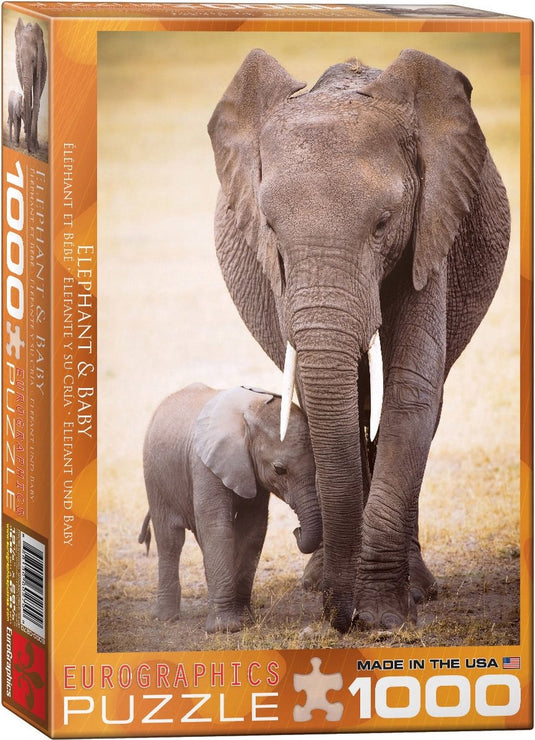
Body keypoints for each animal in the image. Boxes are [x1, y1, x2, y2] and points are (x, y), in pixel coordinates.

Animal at [139, 383, 321, 633]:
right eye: (279, 470)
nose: (297, 530)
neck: (250, 412)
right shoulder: (204, 464)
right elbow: (217, 527)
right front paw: (225, 629)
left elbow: (253, 529)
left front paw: (245, 619)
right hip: (154, 476)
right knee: (170, 539)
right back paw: (165, 617)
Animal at [208, 49, 510, 632]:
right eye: (271, 229)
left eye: (383, 223)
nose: (339, 619)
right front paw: (348, 600)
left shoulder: (431, 228)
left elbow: (411, 390)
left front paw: (385, 617)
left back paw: (417, 589)